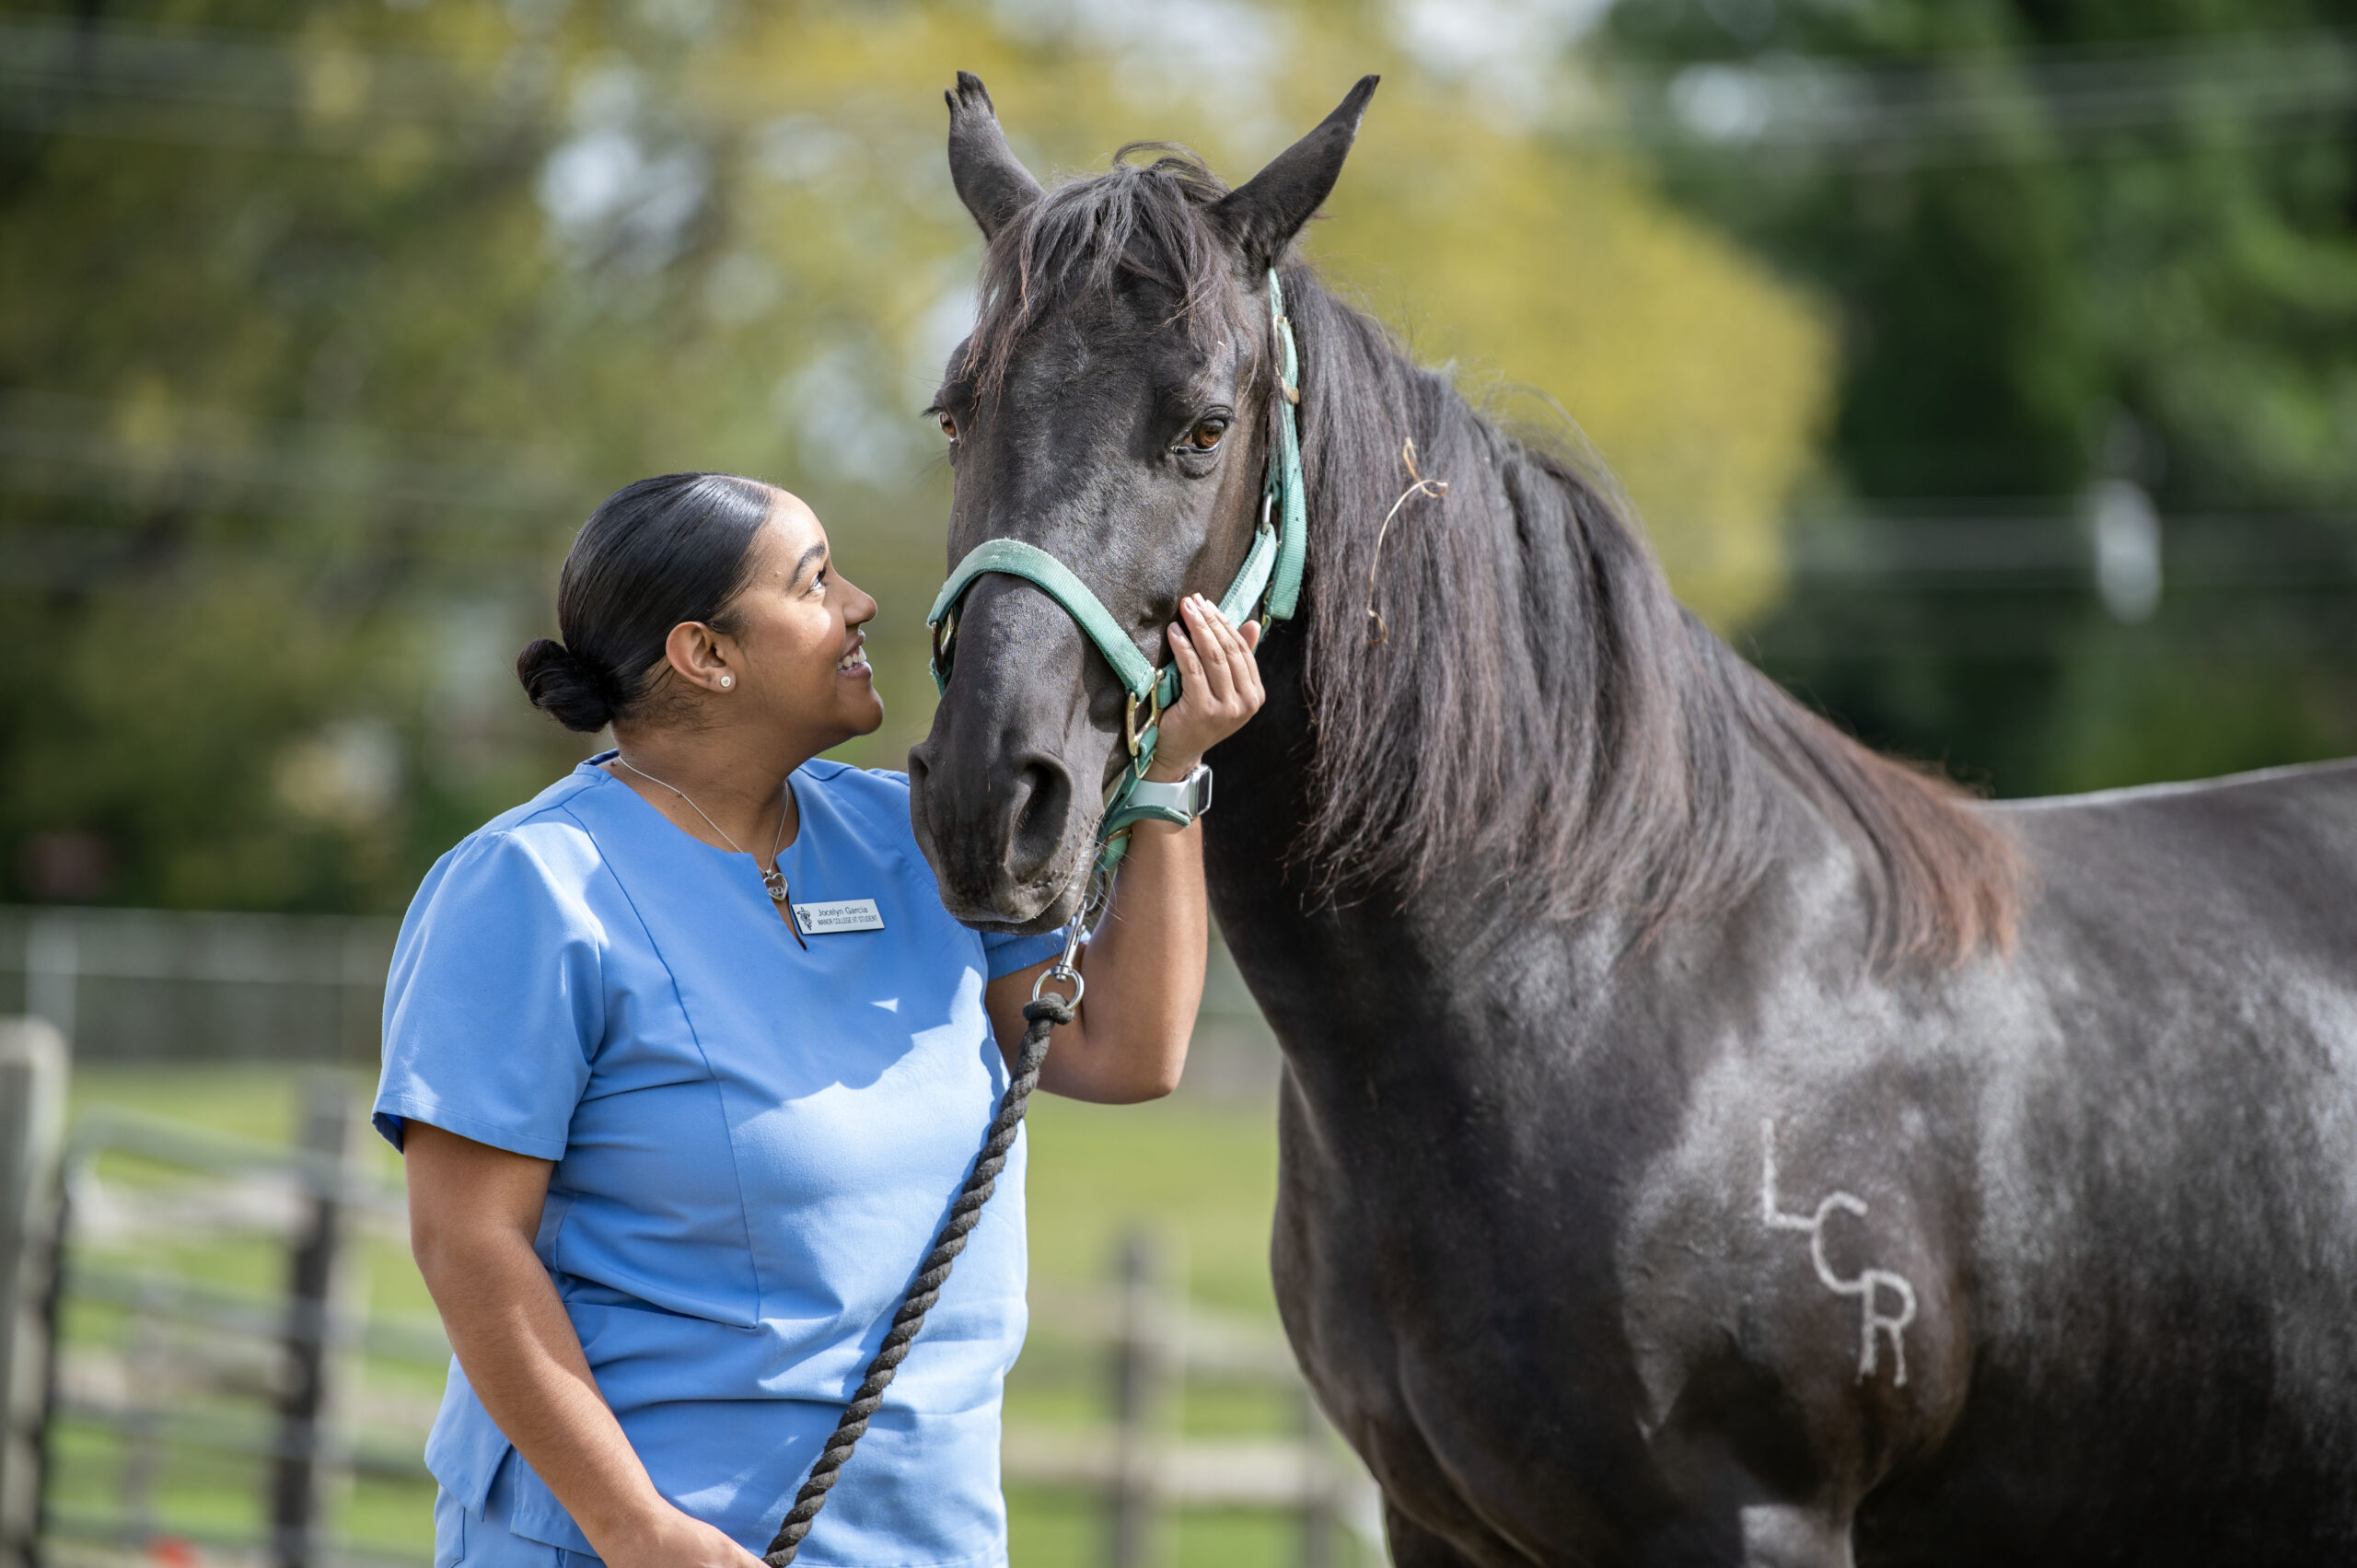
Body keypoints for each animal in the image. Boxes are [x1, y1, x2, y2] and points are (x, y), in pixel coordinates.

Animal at [900, 76, 2357, 1565]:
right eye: (957, 413)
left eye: (1201, 426)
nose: (990, 796)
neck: (1604, 981)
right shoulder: (1432, 1522)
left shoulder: (1755, 1518)